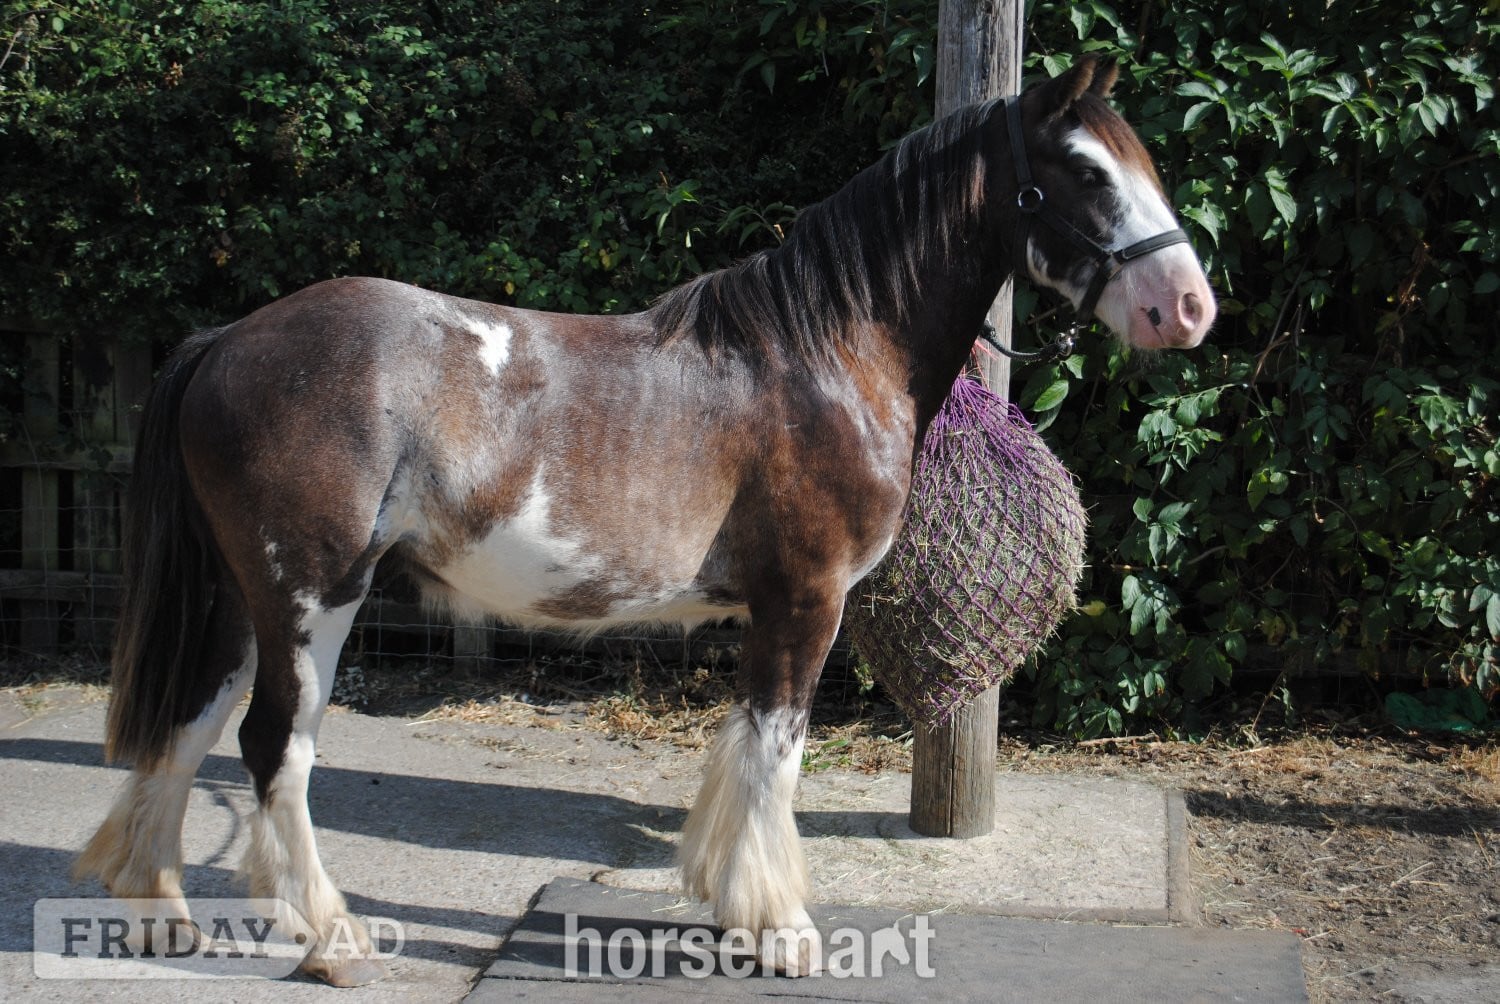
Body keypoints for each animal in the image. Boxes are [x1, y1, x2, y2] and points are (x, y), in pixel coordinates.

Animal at [75, 54, 1214, 984]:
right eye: (1086, 172)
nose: (1191, 307)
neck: (827, 352)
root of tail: (228, 340)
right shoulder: (806, 600)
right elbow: (778, 751)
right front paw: (780, 930)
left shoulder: (767, 609)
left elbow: (744, 747)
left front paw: (727, 899)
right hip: (312, 596)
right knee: (275, 745)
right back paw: (332, 937)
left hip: (245, 600)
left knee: (190, 724)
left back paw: (159, 908)